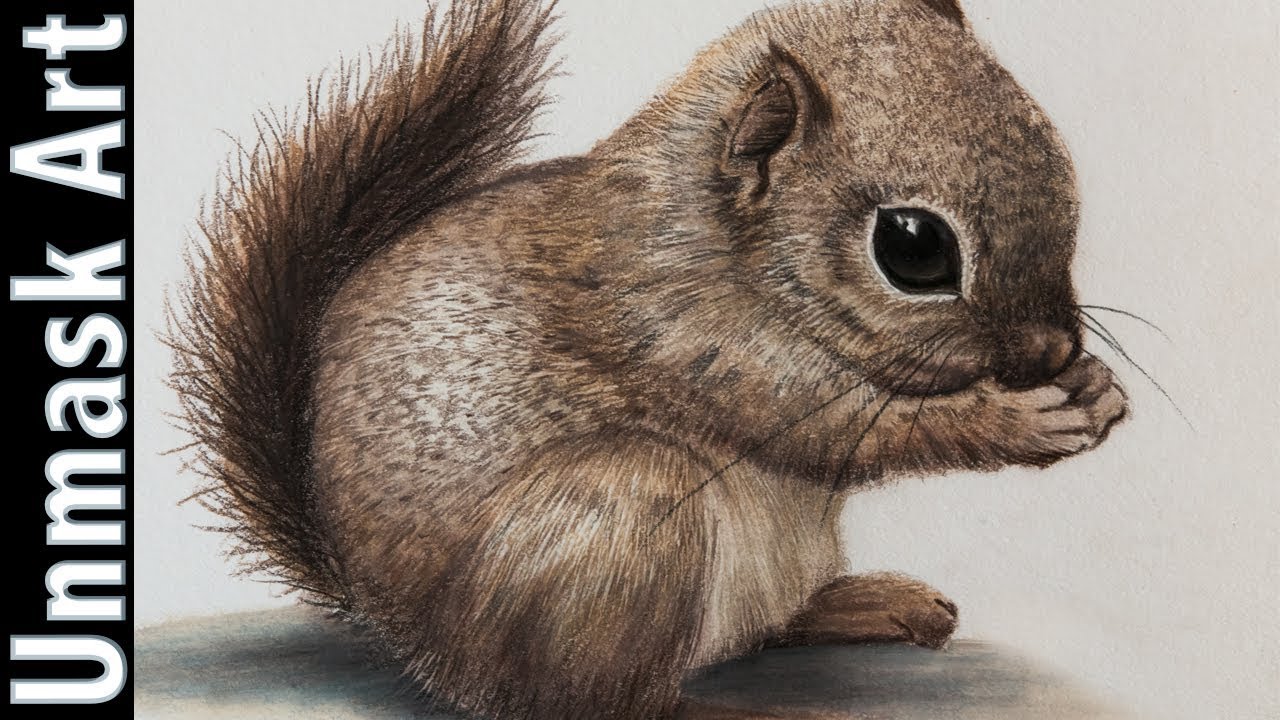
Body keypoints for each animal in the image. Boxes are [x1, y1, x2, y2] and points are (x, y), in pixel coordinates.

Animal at [170, 0, 1129, 718]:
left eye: (1060, 163)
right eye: (913, 247)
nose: (1053, 349)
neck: (714, 238)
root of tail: (409, 640)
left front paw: (1097, 388)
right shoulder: (687, 334)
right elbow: (854, 432)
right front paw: (1025, 417)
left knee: (765, 629)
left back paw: (864, 602)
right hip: (625, 508)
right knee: (585, 701)